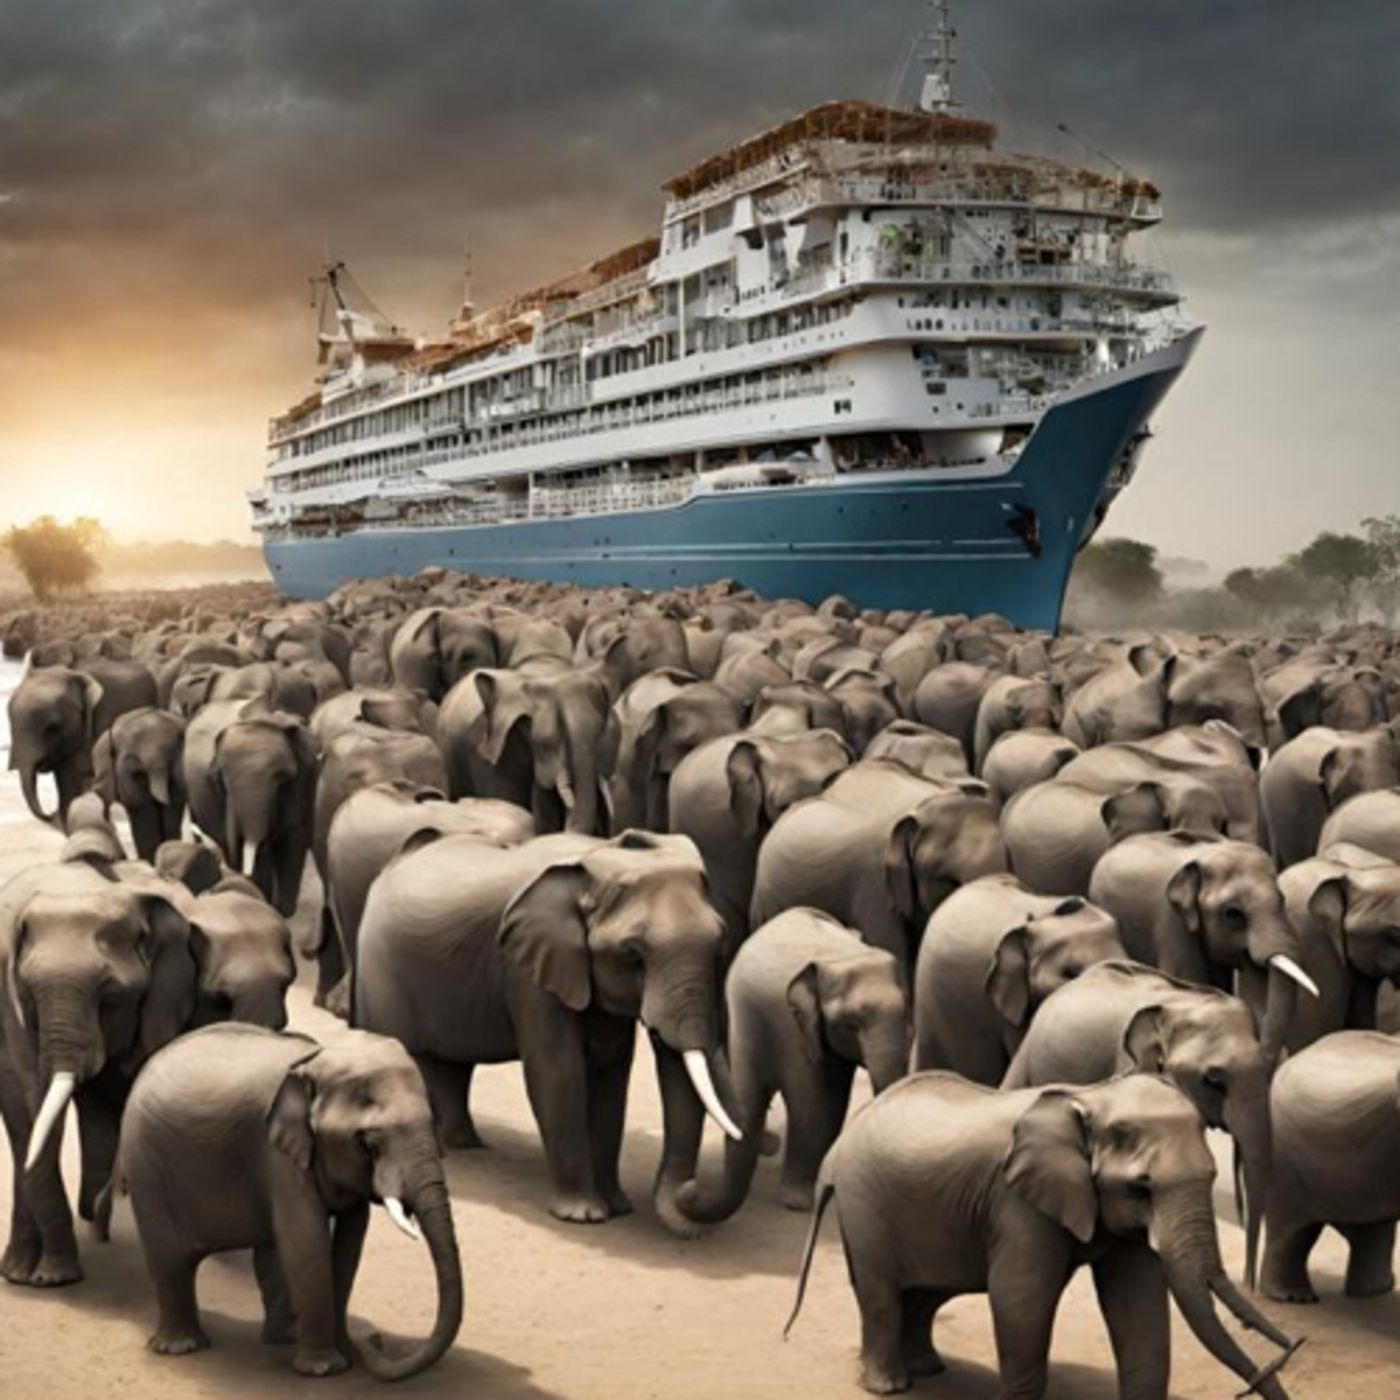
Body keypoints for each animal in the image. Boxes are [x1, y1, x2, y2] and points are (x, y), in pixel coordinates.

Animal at [106, 1023, 461, 1379]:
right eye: (371, 1145)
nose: (374, 1340)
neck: (316, 1060)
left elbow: (348, 1244)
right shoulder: (277, 1157)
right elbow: (307, 1241)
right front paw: (324, 1370)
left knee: (268, 1252)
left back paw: (284, 1338)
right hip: (146, 1166)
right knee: (168, 1258)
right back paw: (181, 1347)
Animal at [355, 829, 741, 1233]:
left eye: (720, 946)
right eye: (633, 955)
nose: (690, 1192)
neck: (596, 860)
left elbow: (611, 1076)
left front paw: (618, 1208)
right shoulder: (529, 971)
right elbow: (558, 1072)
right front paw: (583, 1216)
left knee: (452, 1065)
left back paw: (465, 1144)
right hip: (380, 969)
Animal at [676, 908, 908, 1222]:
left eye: (907, 1014)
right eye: (851, 1024)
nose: (688, 1189)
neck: (842, 958)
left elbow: (827, 1102)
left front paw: (797, 1199)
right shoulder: (794, 1028)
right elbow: (813, 1102)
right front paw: (796, 1203)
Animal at [786, 1071, 1299, 1398]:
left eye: (1212, 1175)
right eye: (1141, 1187)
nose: (1287, 1354)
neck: (1091, 1096)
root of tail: (837, 1151)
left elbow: (1137, 1301)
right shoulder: (1016, 1201)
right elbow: (1021, 1297)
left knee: (926, 1292)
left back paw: (926, 1369)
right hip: (865, 1204)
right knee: (881, 1294)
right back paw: (889, 1387)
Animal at [1004, 959, 1278, 1289]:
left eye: (1269, 1070)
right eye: (1213, 1079)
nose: (1250, 1284)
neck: (1179, 1007)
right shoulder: (1126, 1065)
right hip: (1030, 1055)